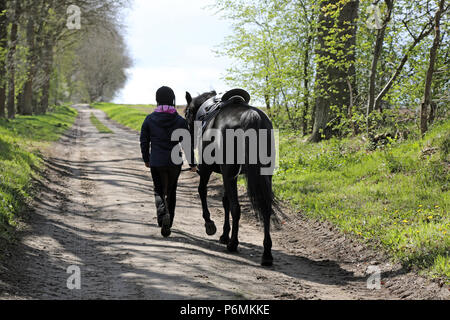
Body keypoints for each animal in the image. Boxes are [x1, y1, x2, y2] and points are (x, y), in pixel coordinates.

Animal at [185, 90, 276, 264]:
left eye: (186, 114)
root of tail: (252, 117)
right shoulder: (228, 176)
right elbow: (225, 201)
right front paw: (224, 234)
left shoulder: (208, 169)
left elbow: (202, 191)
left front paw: (210, 224)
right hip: (264, 175)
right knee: (266, 207)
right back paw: (267, 253)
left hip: (226, 172)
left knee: (236, 208)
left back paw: (233, 244)